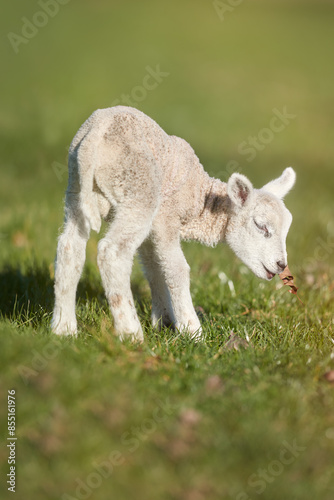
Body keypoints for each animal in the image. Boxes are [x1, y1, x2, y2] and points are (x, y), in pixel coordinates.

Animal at [51, 107, 296, 342]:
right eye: (261, 226)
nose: (281, 265)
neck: (201, 201)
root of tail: (96, 134)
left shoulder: (151, 232)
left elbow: (154, 268)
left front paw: (163, 320)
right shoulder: (164, 217)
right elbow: (177, 269)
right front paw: (192, 330)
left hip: (77, 190)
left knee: (69, 247)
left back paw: (64, 328)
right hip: (138, 191)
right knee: (113, 253)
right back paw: (130, 333)